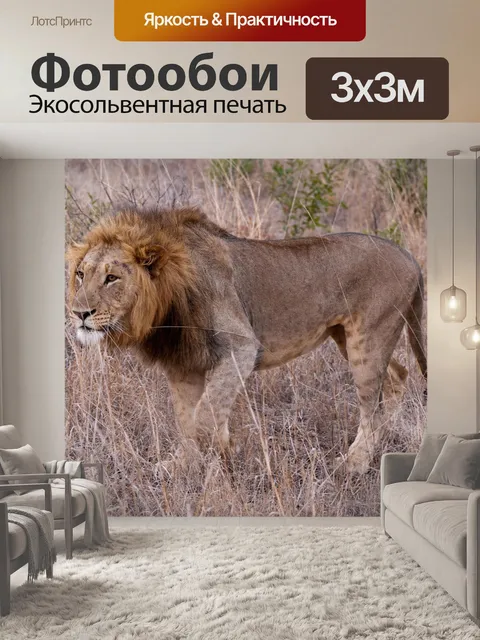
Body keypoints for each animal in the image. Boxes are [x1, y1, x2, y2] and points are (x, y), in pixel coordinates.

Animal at [67, 208, 427, 474]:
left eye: (112, 278)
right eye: (81, 274)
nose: (78, 312)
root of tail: (410, 256)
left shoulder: (241, 347)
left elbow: (204, 414)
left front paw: (225, 451)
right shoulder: (184, 364)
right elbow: (186, 417)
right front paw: (184, 465)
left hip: (369, 338)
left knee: (372, 406)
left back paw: (354, 463)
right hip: (350, 338)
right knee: (398, 377)